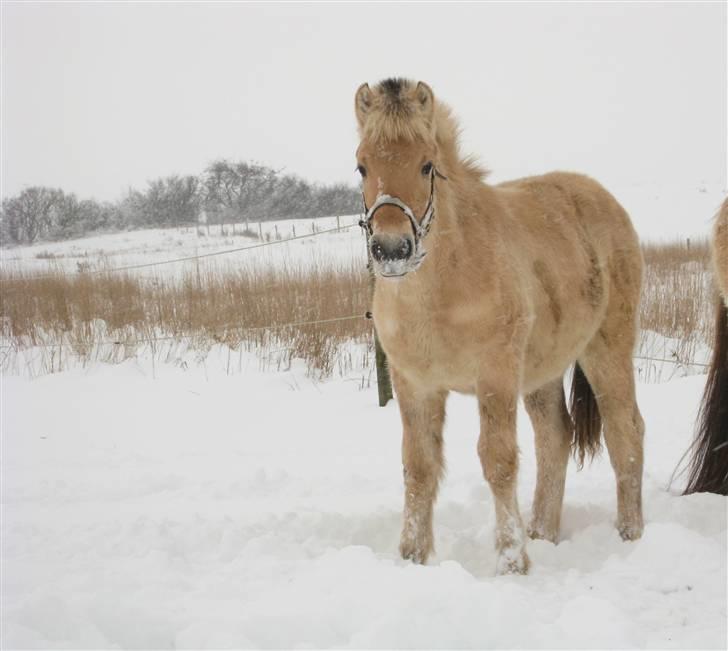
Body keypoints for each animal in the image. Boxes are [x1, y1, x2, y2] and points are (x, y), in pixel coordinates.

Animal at [356, 77, 644, 576]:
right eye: (361, 166)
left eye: (427, 165)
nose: (392, 249)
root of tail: (604, 199)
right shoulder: (415, 385)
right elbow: (419, 467)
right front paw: (412, 557)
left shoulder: (495, 376)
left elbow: (499, 459)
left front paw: (512, 561)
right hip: (543, 371)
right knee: (555, 438)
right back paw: (542, 534)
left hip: (607, 351)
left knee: (625, 431)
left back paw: (630, 536)